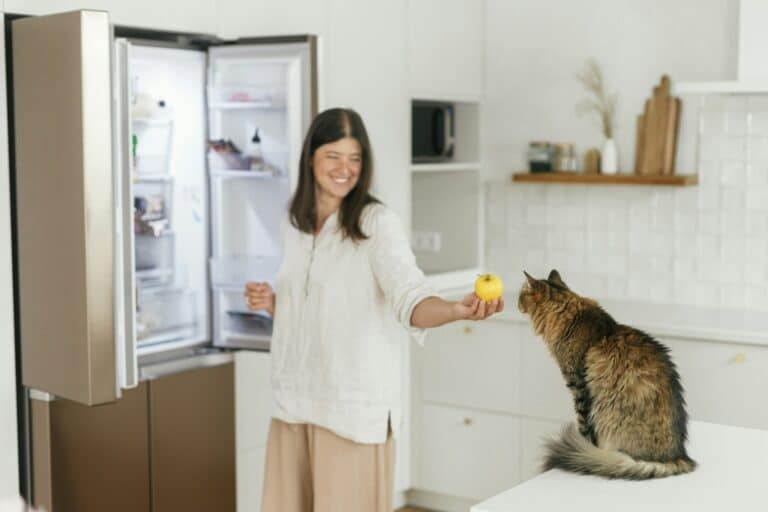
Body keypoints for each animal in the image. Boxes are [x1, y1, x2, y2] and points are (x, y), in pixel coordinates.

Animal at [516, 270, 696, 478]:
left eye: (521, 294)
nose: (516, 302)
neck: (569, 315)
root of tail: (677, 456)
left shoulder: (578, 386)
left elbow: (584, 428)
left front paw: (584, 446)